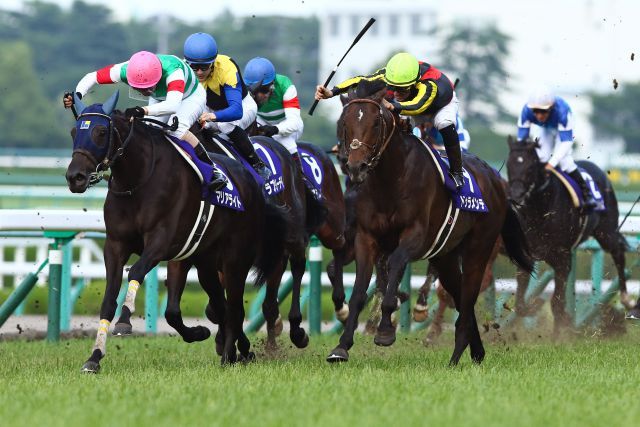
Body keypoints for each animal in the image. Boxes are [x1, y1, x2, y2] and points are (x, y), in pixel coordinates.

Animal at [64, 93, 288, 372]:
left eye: (101, 131)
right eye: (74, 132)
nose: (75, 177)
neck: (138, 181)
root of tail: (251, 180)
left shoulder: (161, 242)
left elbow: (136, 272)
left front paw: (125, 320)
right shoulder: (116, 245)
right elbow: (110, 301)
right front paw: (94, 357)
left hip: (235, 259)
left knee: (235, 307)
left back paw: (228, 357)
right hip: (205, 263)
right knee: (220, 306)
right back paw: (238, 349)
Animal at [328, 85, 532, 366]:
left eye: (376, 123)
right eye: (344, 123)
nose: (356, 166)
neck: (390, 180)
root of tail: (496, 180)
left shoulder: (414, 236)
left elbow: (394, 267)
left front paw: (385, 330)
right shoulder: (365, 238)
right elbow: (358, 291)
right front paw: (342, 346)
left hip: (479, 249)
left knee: (467, 298)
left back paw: (455, 357)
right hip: (446, 256)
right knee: (458, 296)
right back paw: (476, 351)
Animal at [508, 138, 632, 332]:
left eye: (530, 167)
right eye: (509, 164)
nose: (515, 195)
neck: (540, 210)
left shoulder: (563, 259)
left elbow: (557, 303)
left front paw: (561, 331)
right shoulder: (527, 255)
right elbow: (520, 304)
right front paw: (535, 305)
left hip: (607, 232)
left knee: (618, 252)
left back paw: (626, 298)